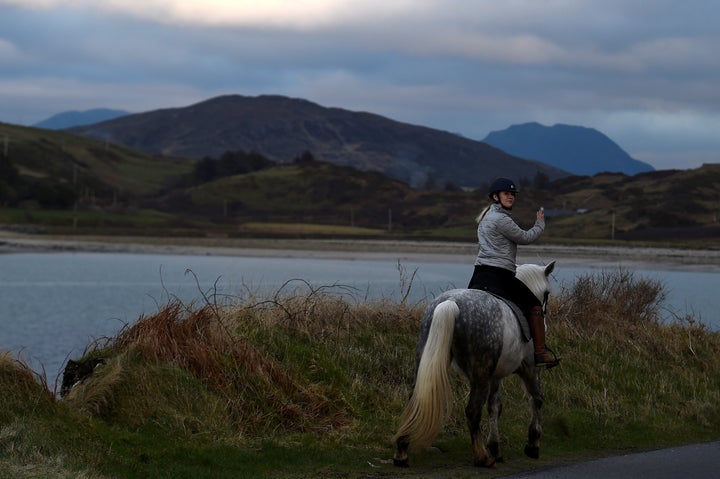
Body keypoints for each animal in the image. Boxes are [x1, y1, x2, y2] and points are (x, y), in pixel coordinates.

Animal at [394, 260, 556, 466]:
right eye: (547, 293)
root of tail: (450, 303)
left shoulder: (496, 376)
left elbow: (495, 407)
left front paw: (495, 448)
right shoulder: (531, 368)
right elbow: (536, 399)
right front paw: (533, 445)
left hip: (426, 361)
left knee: (415, 399)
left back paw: (401, 452)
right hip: (480, 375)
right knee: (473, 411)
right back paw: (482, 457)